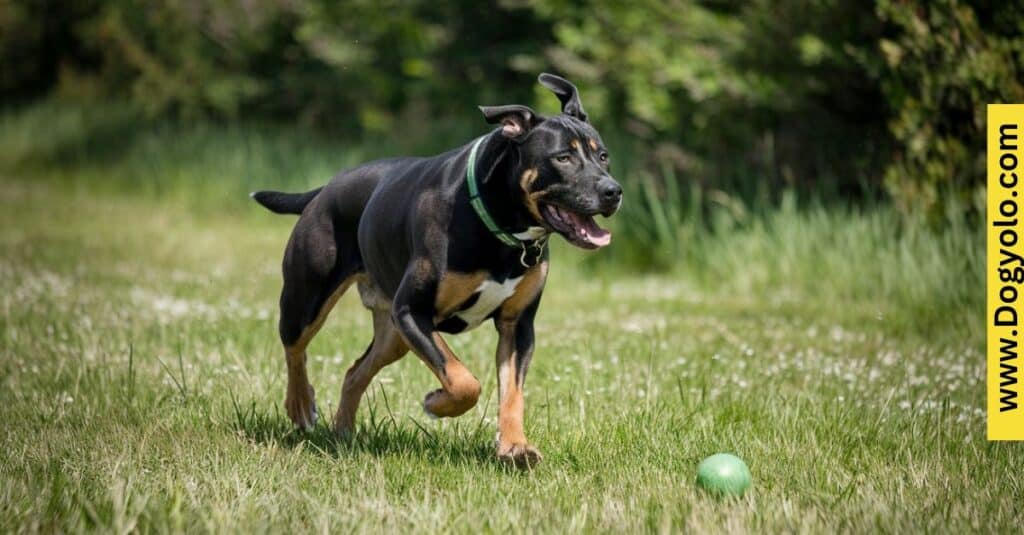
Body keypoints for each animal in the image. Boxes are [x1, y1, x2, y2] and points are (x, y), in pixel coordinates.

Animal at [253, 72, 622, 463]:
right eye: (563, 157)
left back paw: (343, 435)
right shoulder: (412, 311)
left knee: (355, 372)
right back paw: (300, 405)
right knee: (294, 347)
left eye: (603, 156)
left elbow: (512, 393)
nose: (613, 191)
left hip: (392, 336)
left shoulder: (517, 326)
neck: (500, 221)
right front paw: (436, 403)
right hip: (308, 298)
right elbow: (463, 381)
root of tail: (324, 190)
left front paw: (514, 447)